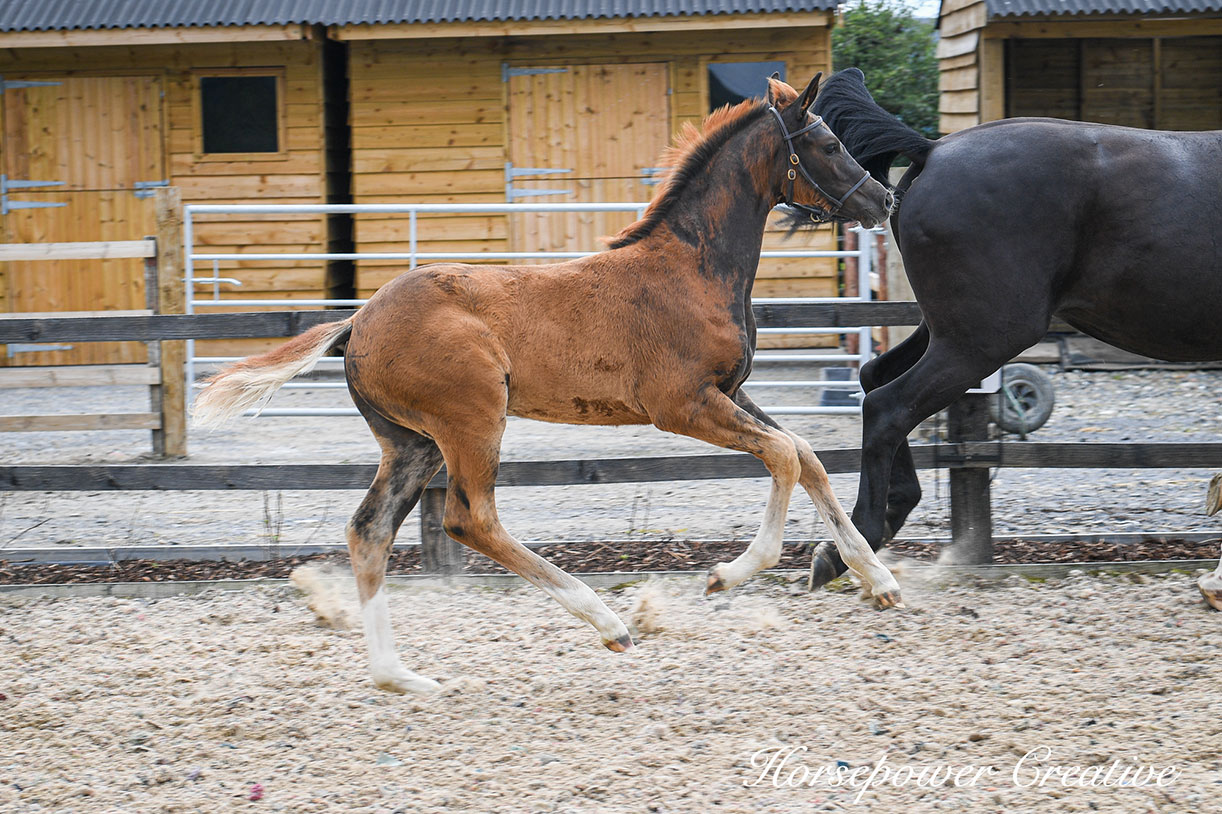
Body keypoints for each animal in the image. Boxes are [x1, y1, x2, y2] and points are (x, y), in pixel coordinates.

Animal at [195, 74, 904, 689]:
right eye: (830, 144)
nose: (884, 199)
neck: (691, 269)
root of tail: (358, 321)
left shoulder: (730, 393)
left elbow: (807, 456)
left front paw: (879, 581)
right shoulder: (682, 404)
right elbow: (784, 455)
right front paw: (726, 577)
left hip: (412, 444)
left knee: (369, 531)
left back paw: (400, 677)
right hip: (473, 419)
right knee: (470, 519)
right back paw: (609, 622)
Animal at [806, 66, 1217, 586]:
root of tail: (932, 150)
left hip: (951, 331)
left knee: (876, 377)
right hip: (984, 338)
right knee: (887, 407)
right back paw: (853, 547)